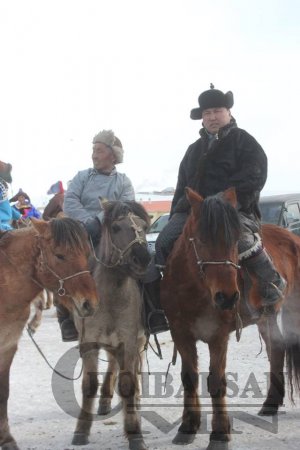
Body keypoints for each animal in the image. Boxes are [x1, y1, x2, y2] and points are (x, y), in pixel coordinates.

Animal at [0, 216, 98, 448]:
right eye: (60, 255)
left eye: (86, 253)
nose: (89, 303)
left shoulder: (8, 346)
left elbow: (3, 392)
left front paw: (7, 439)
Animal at [72, 200, 151, 450]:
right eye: (116, 228)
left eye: (145, 226)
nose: (142, 258)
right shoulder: (89, 343)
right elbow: (89, 385)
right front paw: (81, 431)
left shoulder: (128, 342)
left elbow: (127, 385)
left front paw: (134, 433)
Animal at [162, 187, 300, 450]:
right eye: (200, 239)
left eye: (236, 240)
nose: (227, 297)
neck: (196, 290)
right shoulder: (181, 334)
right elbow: (189, 377)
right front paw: (188, 427)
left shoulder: (218, 337)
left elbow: (216, 381)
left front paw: (219, 434)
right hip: (266, 317)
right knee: (276, 350)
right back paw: (271, 403)